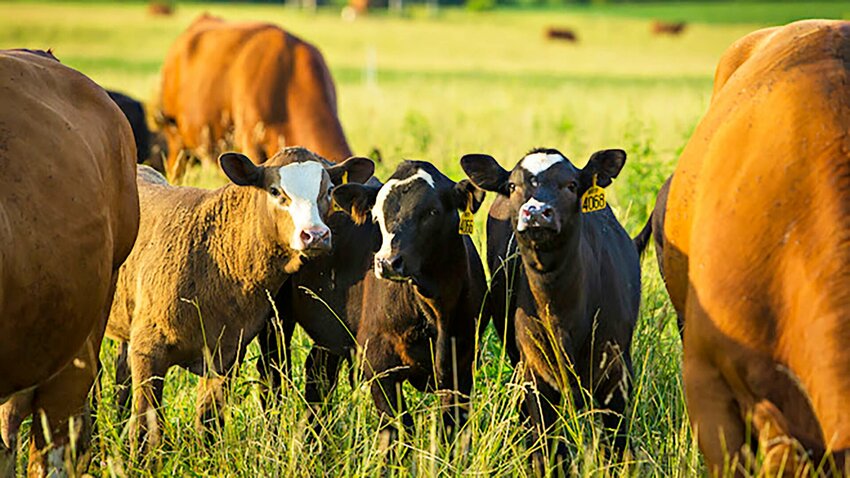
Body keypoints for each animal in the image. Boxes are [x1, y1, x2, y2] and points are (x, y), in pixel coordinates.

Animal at [103, 147, 372, 456]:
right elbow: (145, 427)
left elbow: (208, 423)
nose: (315, 235)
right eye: (275, 191)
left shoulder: (226, 354)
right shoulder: (148, 350)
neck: (213, 257)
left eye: (327, 190)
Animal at [460, 147, 632, 474]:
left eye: (572, 185)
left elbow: (616, 449)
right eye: (513, 185)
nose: (537, 212)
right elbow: (549, 450)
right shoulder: (535, 375)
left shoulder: (615, 374)